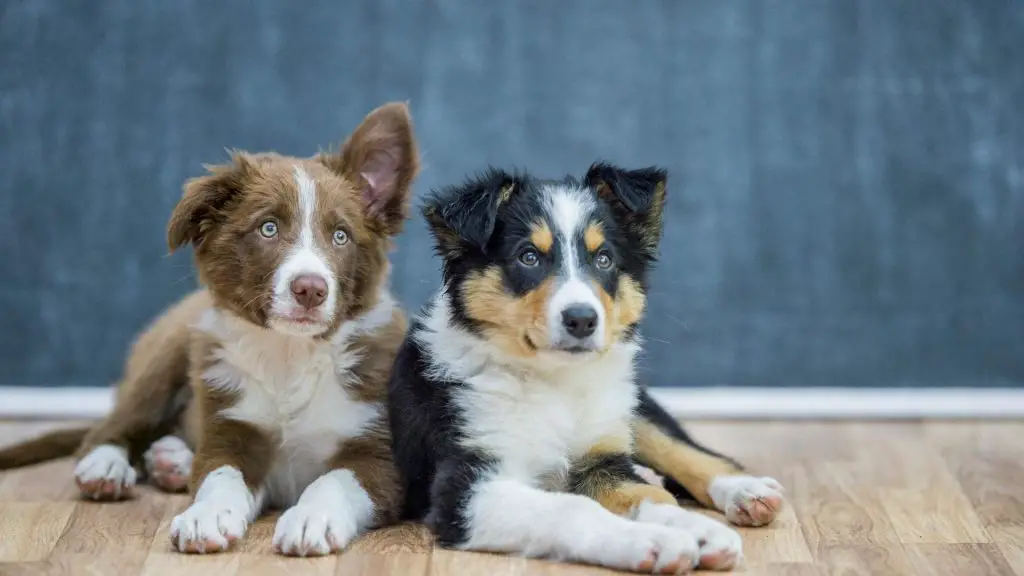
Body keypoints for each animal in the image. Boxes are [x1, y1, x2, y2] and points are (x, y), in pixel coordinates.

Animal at [0, 100, 419, 553]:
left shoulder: (380, 456)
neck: (290, 356)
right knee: (105, 430)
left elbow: (334, 481)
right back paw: (107, 467)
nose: (311, 289)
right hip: (167, 355)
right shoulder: (230, 432)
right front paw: (207, 516)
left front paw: (311, 518)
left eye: (341, 236)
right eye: (268, 228)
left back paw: (171, 461)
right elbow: (220, 477)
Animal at [385, 163, 782, 569]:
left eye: (603, 259)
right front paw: (656, 540)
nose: (582, 320)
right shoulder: (464, 485)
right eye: (528, 257)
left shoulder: (601, 459)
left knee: (676, 444)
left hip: (625, 402)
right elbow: (572, 508)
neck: (554, 382)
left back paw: (746, 490)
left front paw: (698, 530)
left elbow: (652, 496)